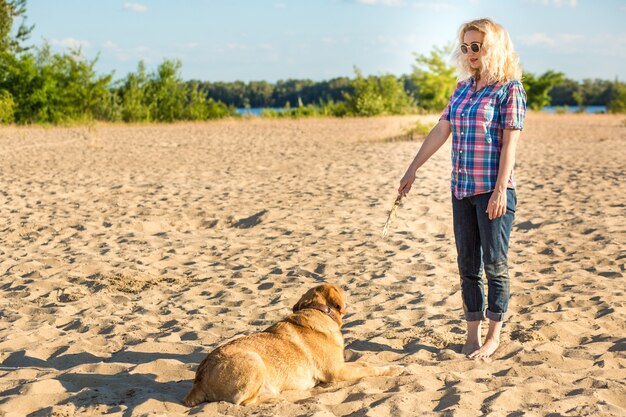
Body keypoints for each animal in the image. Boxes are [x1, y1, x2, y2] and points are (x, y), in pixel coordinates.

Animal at [184, 282, 400, 404]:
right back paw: (273, 399)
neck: (318, 311)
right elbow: (370, 369)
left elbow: (365, 363)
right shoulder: (338, 372)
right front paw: (393, 370)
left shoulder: (343, 365)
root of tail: (199, 380)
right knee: (242, 402)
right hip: (253, 359)